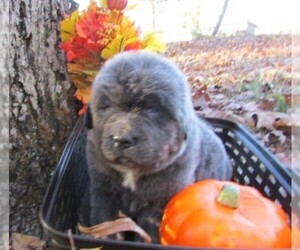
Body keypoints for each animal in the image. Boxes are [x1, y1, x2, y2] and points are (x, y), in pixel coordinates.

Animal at [84, 50, 232, 242]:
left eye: (153, 108)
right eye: (106, 105)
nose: (122, 139)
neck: (132, 172)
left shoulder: (160, 201)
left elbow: (150, 230)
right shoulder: (103, 190)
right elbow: (106, 222)